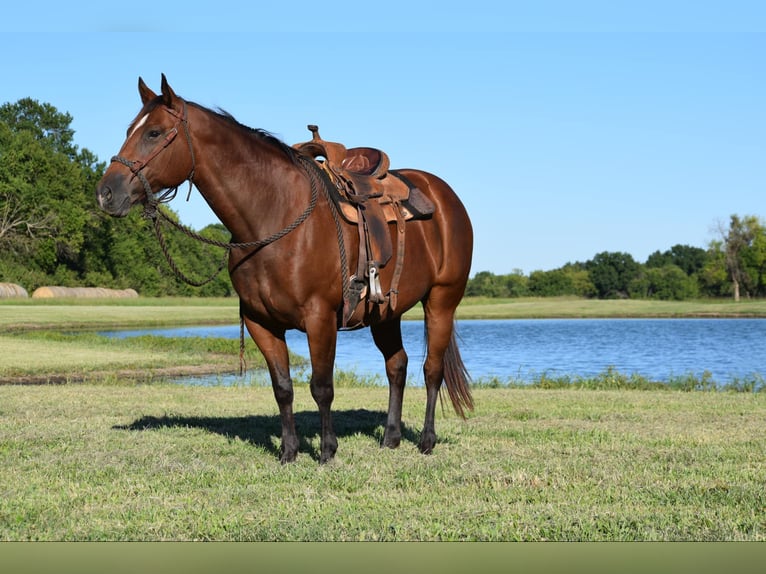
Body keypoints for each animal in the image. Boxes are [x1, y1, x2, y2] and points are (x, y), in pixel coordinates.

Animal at [96, 75, 474, 464]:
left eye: (154, 132)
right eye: (130, 130)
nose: (106, 192)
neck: (274, 215)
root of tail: (443, 195)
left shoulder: (320, 318)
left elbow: (321, 387)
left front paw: (327, 451)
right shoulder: (260, 322)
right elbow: (283, 387)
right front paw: (289, 451)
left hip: (442, 301)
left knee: (432, 370)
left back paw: (427, 440)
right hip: (386, 313)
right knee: (397, 366)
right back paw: (391, 437)